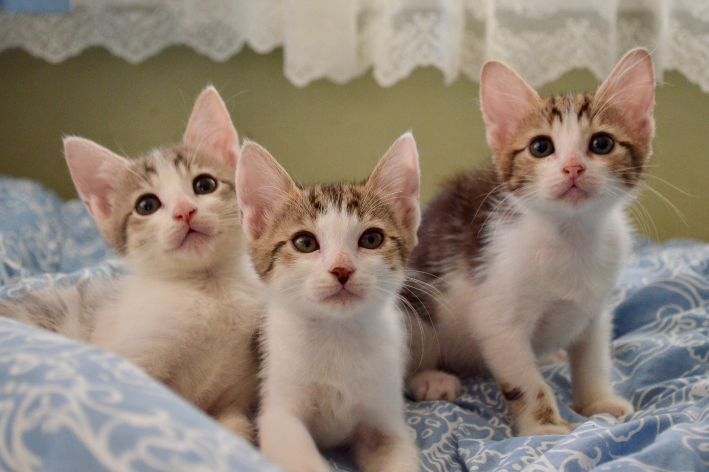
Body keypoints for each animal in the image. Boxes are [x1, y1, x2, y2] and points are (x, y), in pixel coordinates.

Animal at [0, 87, 262, 442]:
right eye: (146, 205)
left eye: (204, 185)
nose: (184, 211)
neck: (211, 291)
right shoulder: (130, 358)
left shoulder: (234, 394)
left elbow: (235, 427)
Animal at [236, 134, 420, 472]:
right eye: (304, 243)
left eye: (372, 239)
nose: (342, 269)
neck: (337, 333)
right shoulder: (278, 414)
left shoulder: (387, 421)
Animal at [404, 48, 652, 436]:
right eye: (541, 147)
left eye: (602, 143)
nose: (573, 167)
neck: (571, 236)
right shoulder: (498, 318)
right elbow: (525, 380)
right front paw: (544, 427)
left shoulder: (596, 309)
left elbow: (593, 358)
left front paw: (597, 402)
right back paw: (430, 379)